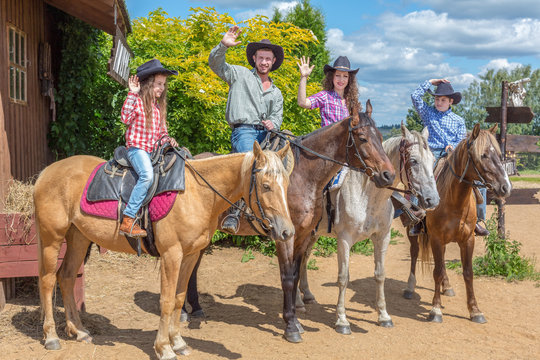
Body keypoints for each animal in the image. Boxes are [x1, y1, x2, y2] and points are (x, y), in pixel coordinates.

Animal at [33, 143, 296, 360]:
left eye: (286, 185)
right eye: (266, 186)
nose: (287, 231)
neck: (196, 193)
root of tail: (45, 173)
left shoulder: (190, 256)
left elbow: (179, 299)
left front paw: (178, 342)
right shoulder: (172, 255)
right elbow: (167, 301)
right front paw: (164, 348)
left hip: (78, 238)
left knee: (66, 277)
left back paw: (79, 330)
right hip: (52, 239)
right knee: (47, 280)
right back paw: (52, 337)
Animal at [181, 100, 396, 342]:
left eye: (380, 135)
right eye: (362, 138)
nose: (388, 175)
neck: (302, 177)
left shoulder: (302, 235)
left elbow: (295, 273)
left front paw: (296, 319)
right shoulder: (284, 236)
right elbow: (287, 278)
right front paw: (291, 326)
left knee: (192, 267)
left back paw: (196, 308)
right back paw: (183, 313)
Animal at [300, 125, 438, 334]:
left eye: (433, 160)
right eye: (413, 160)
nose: (433, 200)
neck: (366, 195)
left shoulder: (382, 237)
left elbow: (380, 275)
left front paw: (384, 316)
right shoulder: (344, 239)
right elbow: (343, 277)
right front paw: (342, 320)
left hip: (312, 234)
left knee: (303, 259)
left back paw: (306, 295)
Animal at [402, 124, 512, 324]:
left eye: (499, 154)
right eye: (483, 155)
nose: (506, 187)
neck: (455, 201)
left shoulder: (467, 240)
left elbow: (468, 273)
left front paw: (475, 310)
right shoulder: (436, 239)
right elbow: (436, 271)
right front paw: (435, 310)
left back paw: (447, 287)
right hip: (412, 231)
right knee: (414, 253)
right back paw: (410, 288)